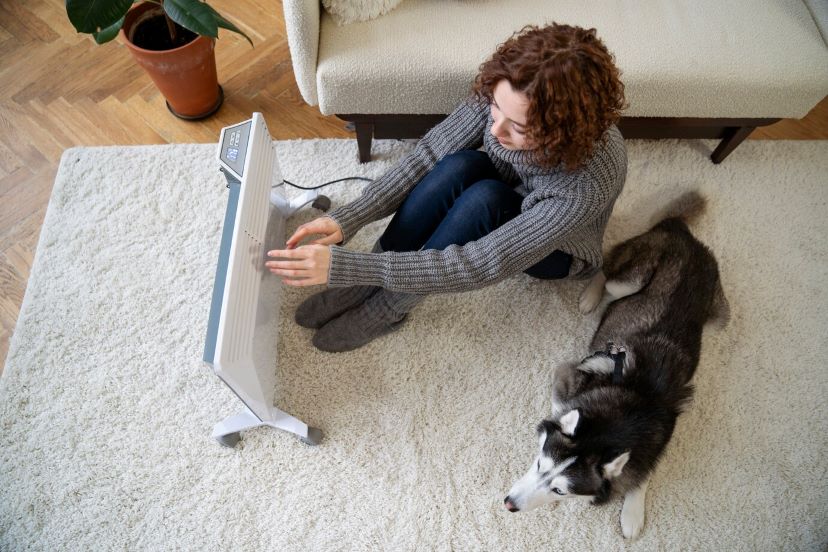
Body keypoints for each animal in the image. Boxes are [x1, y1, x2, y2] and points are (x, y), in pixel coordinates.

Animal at [502, 192, 728, 536]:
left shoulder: (663, 433)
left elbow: (644, 472)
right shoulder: (568, 374)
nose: (509, 503)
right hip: (631, 278)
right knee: (604, 270)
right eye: (540, 464)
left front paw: (633, 511)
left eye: (559, 489)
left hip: (716, 314)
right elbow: (559, 410)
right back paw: (591, 297)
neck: (630, 413)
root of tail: (682, 232)